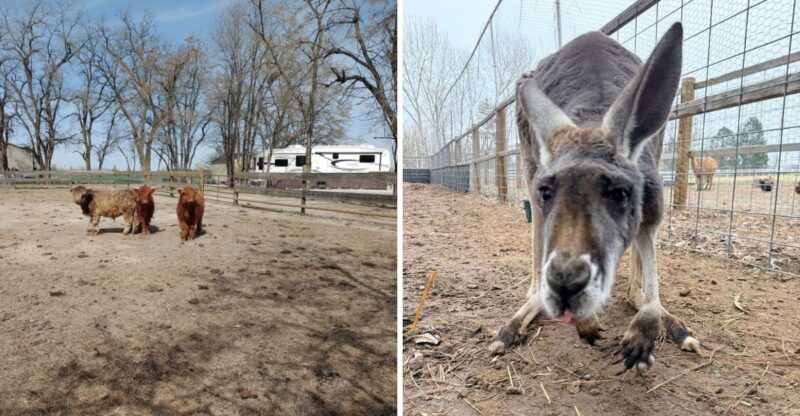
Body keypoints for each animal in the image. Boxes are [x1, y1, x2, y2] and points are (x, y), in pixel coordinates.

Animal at [489, 23, 700, 373]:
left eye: (619, 194)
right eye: (548, 193)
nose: (566, 283)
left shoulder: (651, 204)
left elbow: (650, 268)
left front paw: (643, 333)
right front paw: (585, 320)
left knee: (633, 289)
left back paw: (674, 325)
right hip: (529, 156)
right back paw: (513, 326)